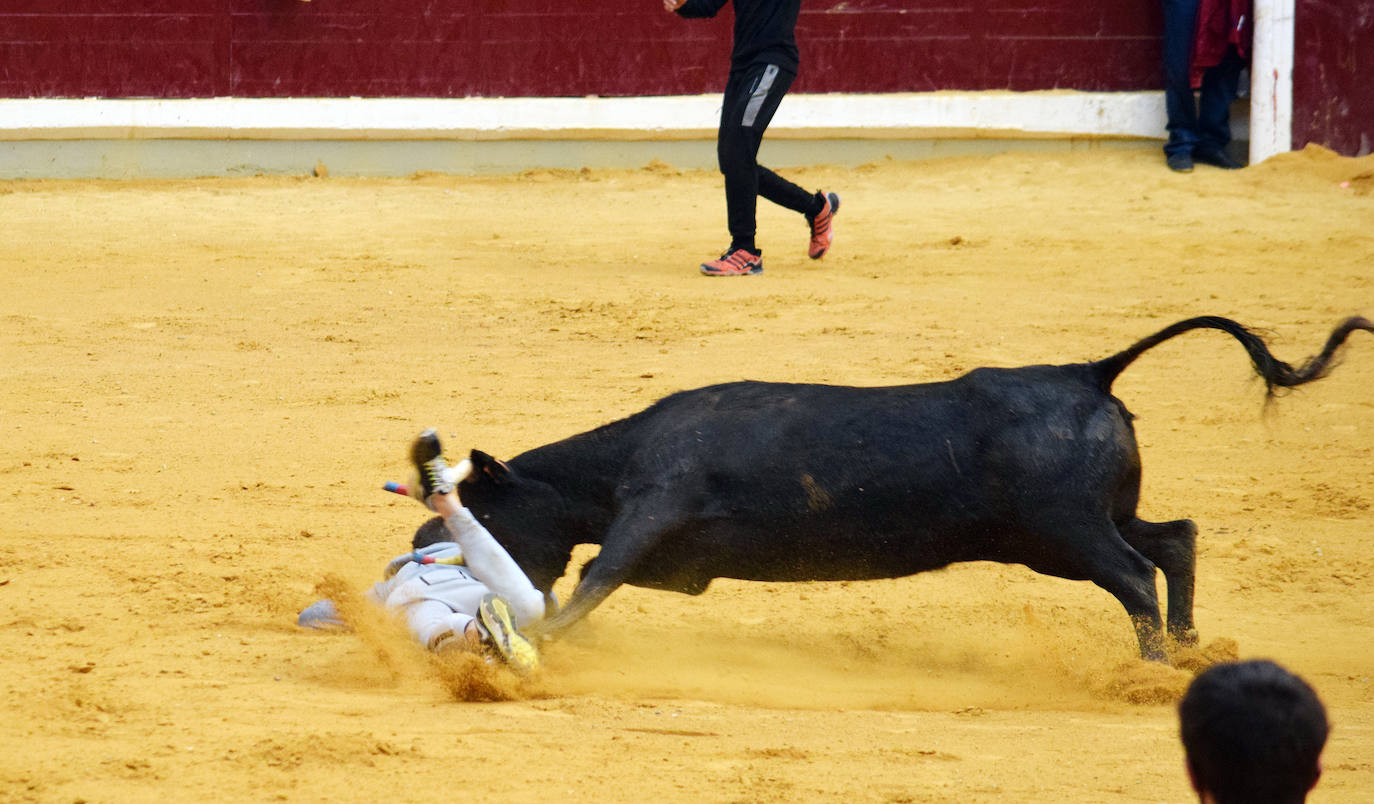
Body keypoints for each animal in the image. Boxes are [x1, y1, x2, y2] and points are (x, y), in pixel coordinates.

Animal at [412, 316, 1368, 662]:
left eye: (481, 508)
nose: (422, 547)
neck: (622, 456)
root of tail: (1087, 373)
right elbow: (597, 580)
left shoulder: (654, 507)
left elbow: (595, 575)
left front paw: (532, 647)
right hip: (1080, 527)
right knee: (1173, 539)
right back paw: (1194, 647)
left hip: (1068, 533)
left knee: (1135, 573)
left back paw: (1154, 673)